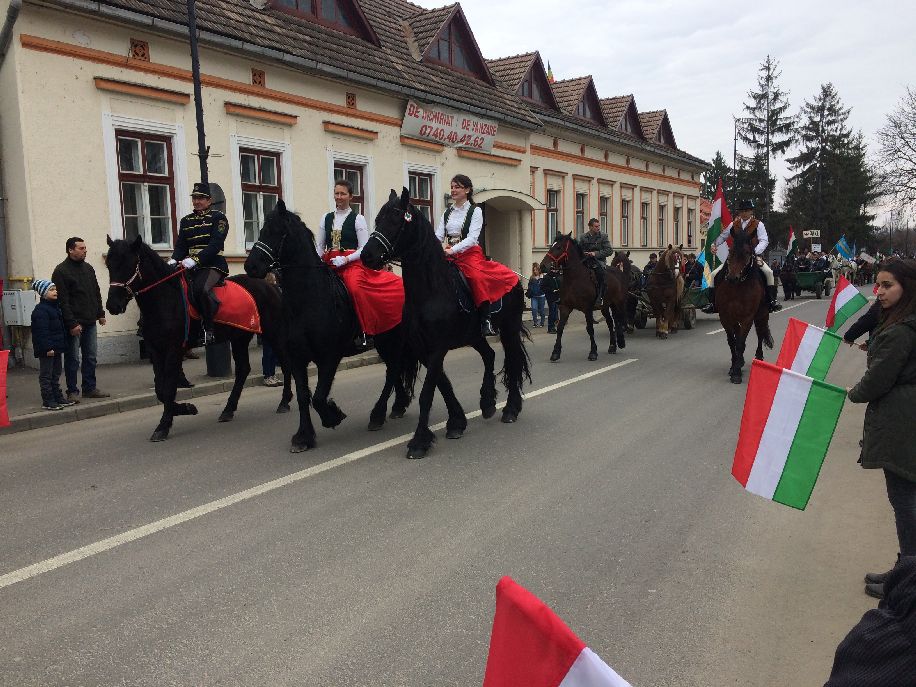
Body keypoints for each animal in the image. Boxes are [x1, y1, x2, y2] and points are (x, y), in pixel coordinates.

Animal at [104, 235, 292, 440]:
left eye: (129, 264)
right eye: (109, 265)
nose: (113, 305)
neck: (165, 300)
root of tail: (271, 286)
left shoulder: (174, 349)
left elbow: (168, 387)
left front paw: (164, 425)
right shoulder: (155, 350)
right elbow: (160, 389)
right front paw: (185, 408)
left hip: (273, 333)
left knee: (285, 362)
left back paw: (284, 402)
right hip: (240, 337)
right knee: (243, 369)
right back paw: (228, 409)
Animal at [243, 202, 416, 454]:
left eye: (278, 232)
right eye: (262, 229)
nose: (251, 265)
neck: (309, 300)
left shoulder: (329, 357)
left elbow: (319, 397)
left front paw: (332, 416)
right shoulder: (296, 358)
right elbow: (304, 396)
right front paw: (303, 437)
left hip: (392, 340)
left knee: (392, 371)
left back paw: (378, 414)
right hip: (386, 342)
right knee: (393, 370)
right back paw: (397, 407)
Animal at [358, 187, 528, 462]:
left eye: (395, 219)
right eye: (377, 219)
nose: (367, 256)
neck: (430, 291)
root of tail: (514, 274)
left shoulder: (437, 348)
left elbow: (428, 392)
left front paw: (419, 441)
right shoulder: (423, 348)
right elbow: (442, 383)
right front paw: (456, 422)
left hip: (509, 330)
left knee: (511, 361)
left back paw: (510, 409)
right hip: (474, 336)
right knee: (489, 355)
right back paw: (488, 402)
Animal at [540, 234, 628, 362]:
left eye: (559, 247)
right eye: (551, 245)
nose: (542, 266)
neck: (575, 278)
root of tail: (619, 273)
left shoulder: (587, 309)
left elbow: (590, 329)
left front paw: (593, 352)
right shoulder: (565, 307)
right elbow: (560, 328)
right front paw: (556, 352)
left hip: (618, 303)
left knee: (620, 320)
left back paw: (621, 341)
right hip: (605, 306)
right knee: (610, 322)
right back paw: (612, 346)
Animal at [716, 228, 772, 384]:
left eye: (747, 252)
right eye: (730, 250)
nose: (732, 278)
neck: (737, 287)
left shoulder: (748, 317)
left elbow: (740, 343)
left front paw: (736, 374)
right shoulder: (725, 317)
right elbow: (732, 342)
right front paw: (734, 366)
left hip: (762, 315)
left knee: (760, 333)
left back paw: (759, 357)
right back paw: (740, 361)